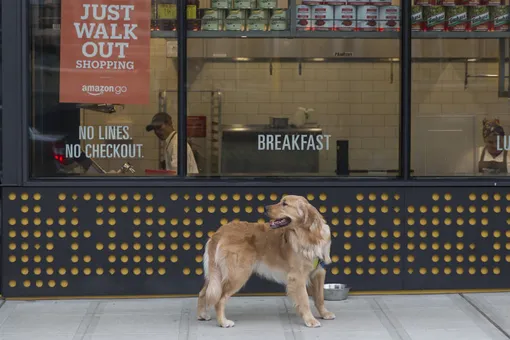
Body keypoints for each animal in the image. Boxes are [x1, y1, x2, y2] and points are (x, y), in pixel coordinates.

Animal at [196, 195, 334, 328]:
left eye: (284, 203)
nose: (265, 207)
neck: (309, 235)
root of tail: (220, 232)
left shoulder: (318, 272)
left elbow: (320, 297)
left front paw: (324, 313)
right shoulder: (298, 276)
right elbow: (304, 300)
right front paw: (310, 320)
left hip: (216, 275)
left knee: (204, 292)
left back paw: (202, 314)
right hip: (237, 274)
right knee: (219, 299)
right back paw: (223, 322)